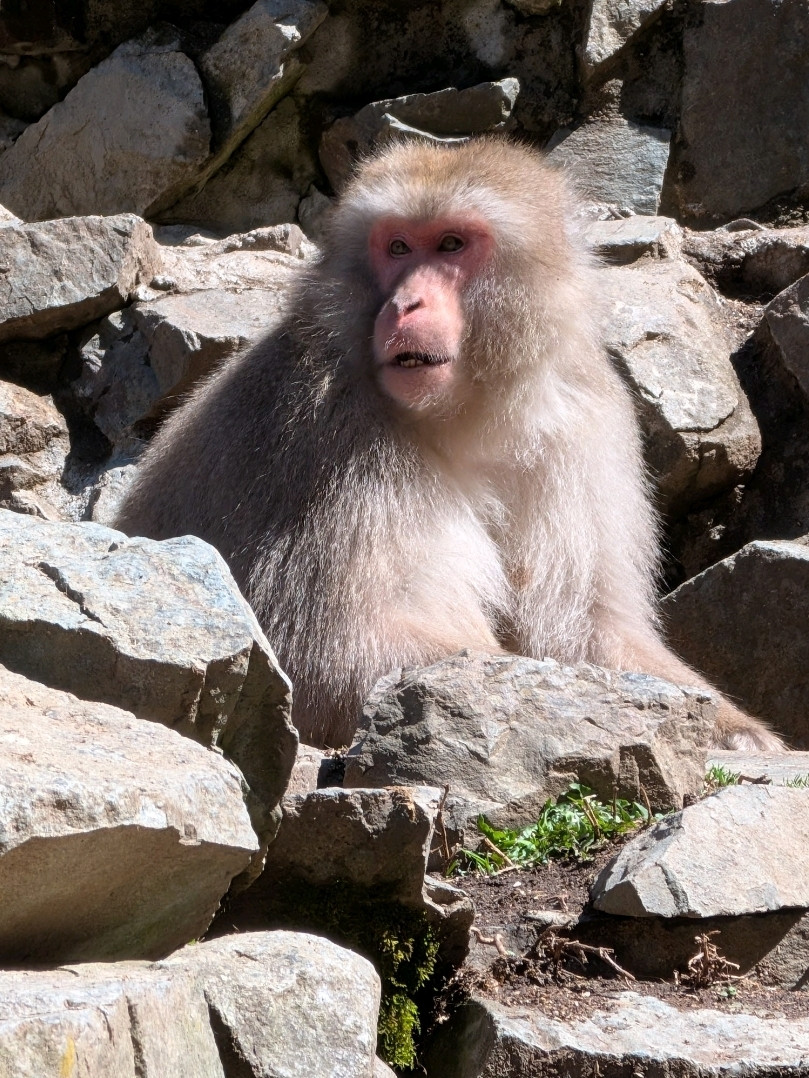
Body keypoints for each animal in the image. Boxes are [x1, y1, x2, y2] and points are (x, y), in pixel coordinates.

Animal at [114, 137, 784, 752]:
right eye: (398, 248)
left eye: (452, 245)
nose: (405, 303)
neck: (465, 414)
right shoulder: (327, 434)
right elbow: (322, 659)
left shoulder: (584, 419)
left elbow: (583, 626)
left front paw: (733, 730)